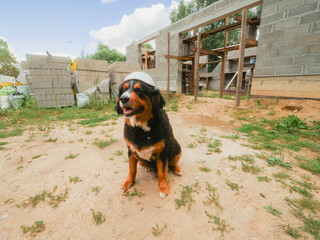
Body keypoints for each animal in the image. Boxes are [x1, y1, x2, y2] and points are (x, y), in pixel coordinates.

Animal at [115, 71, 181, 199]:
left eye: (139, 90)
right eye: (123, 89)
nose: (123, 98)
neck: (140, 128)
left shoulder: (162, 152)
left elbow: (162, 172)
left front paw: (163, 188)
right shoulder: (131, 151)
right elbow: (132, 170)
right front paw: (128, 182)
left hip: (177, 147)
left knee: (172, 162)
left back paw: (176, 169)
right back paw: (148, 168)